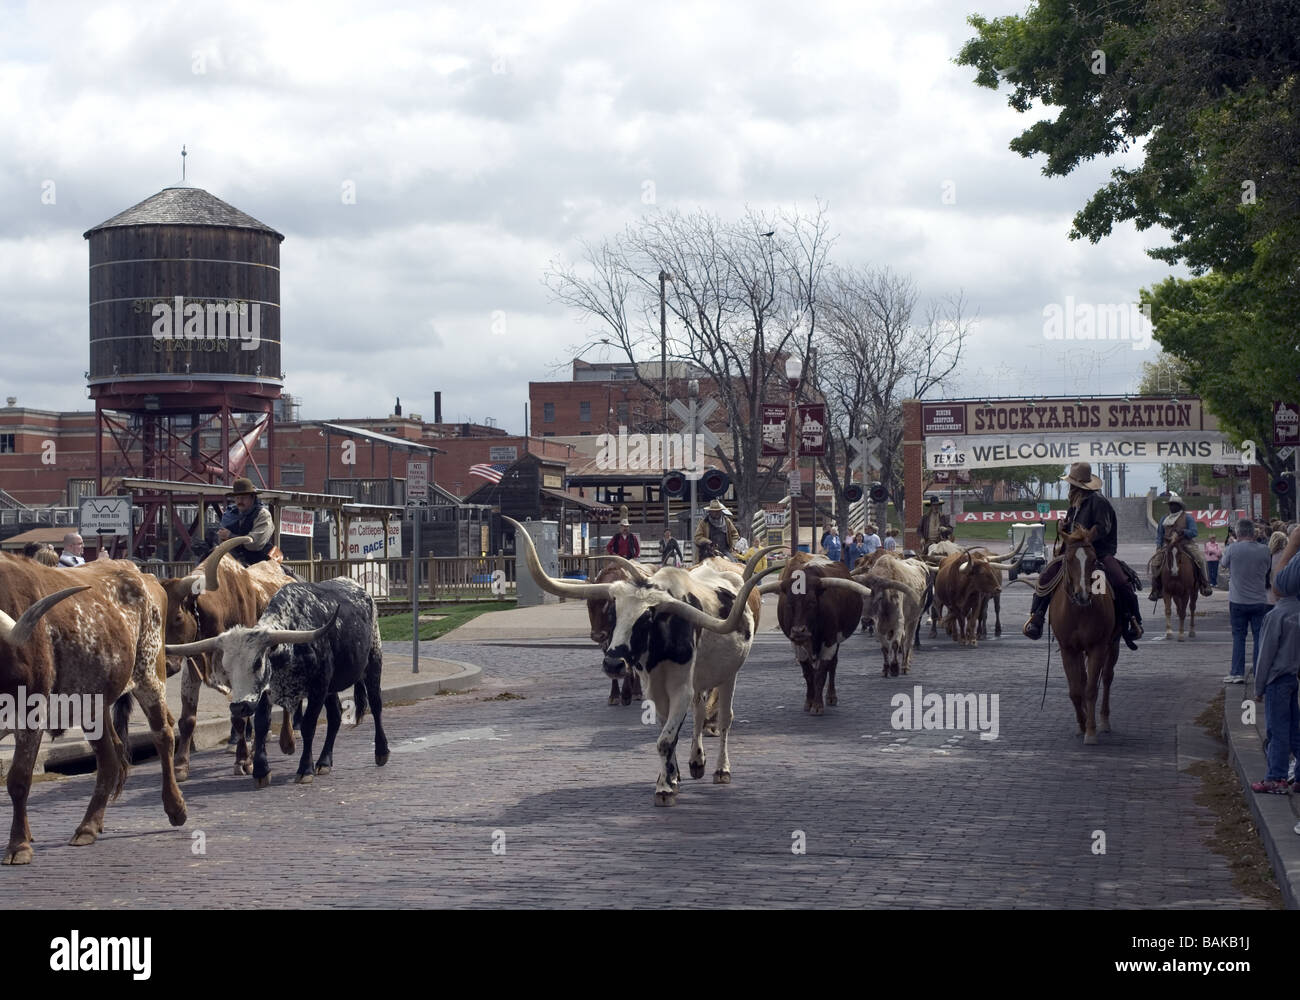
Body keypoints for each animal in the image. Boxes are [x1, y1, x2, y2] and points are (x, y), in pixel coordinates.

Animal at [1050, 522, 1123, 738]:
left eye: (1093, 559)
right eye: (1068, 560)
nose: (1082, 595)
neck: (1079, 612)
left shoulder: (1097, 647)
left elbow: (1091, 689)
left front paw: (1090, 730)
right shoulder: (1068, 649)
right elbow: (1076, 690)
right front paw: (1081, 724)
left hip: (1113, 644)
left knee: (1107, 678)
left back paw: (1104, 720)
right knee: (1083, 680)